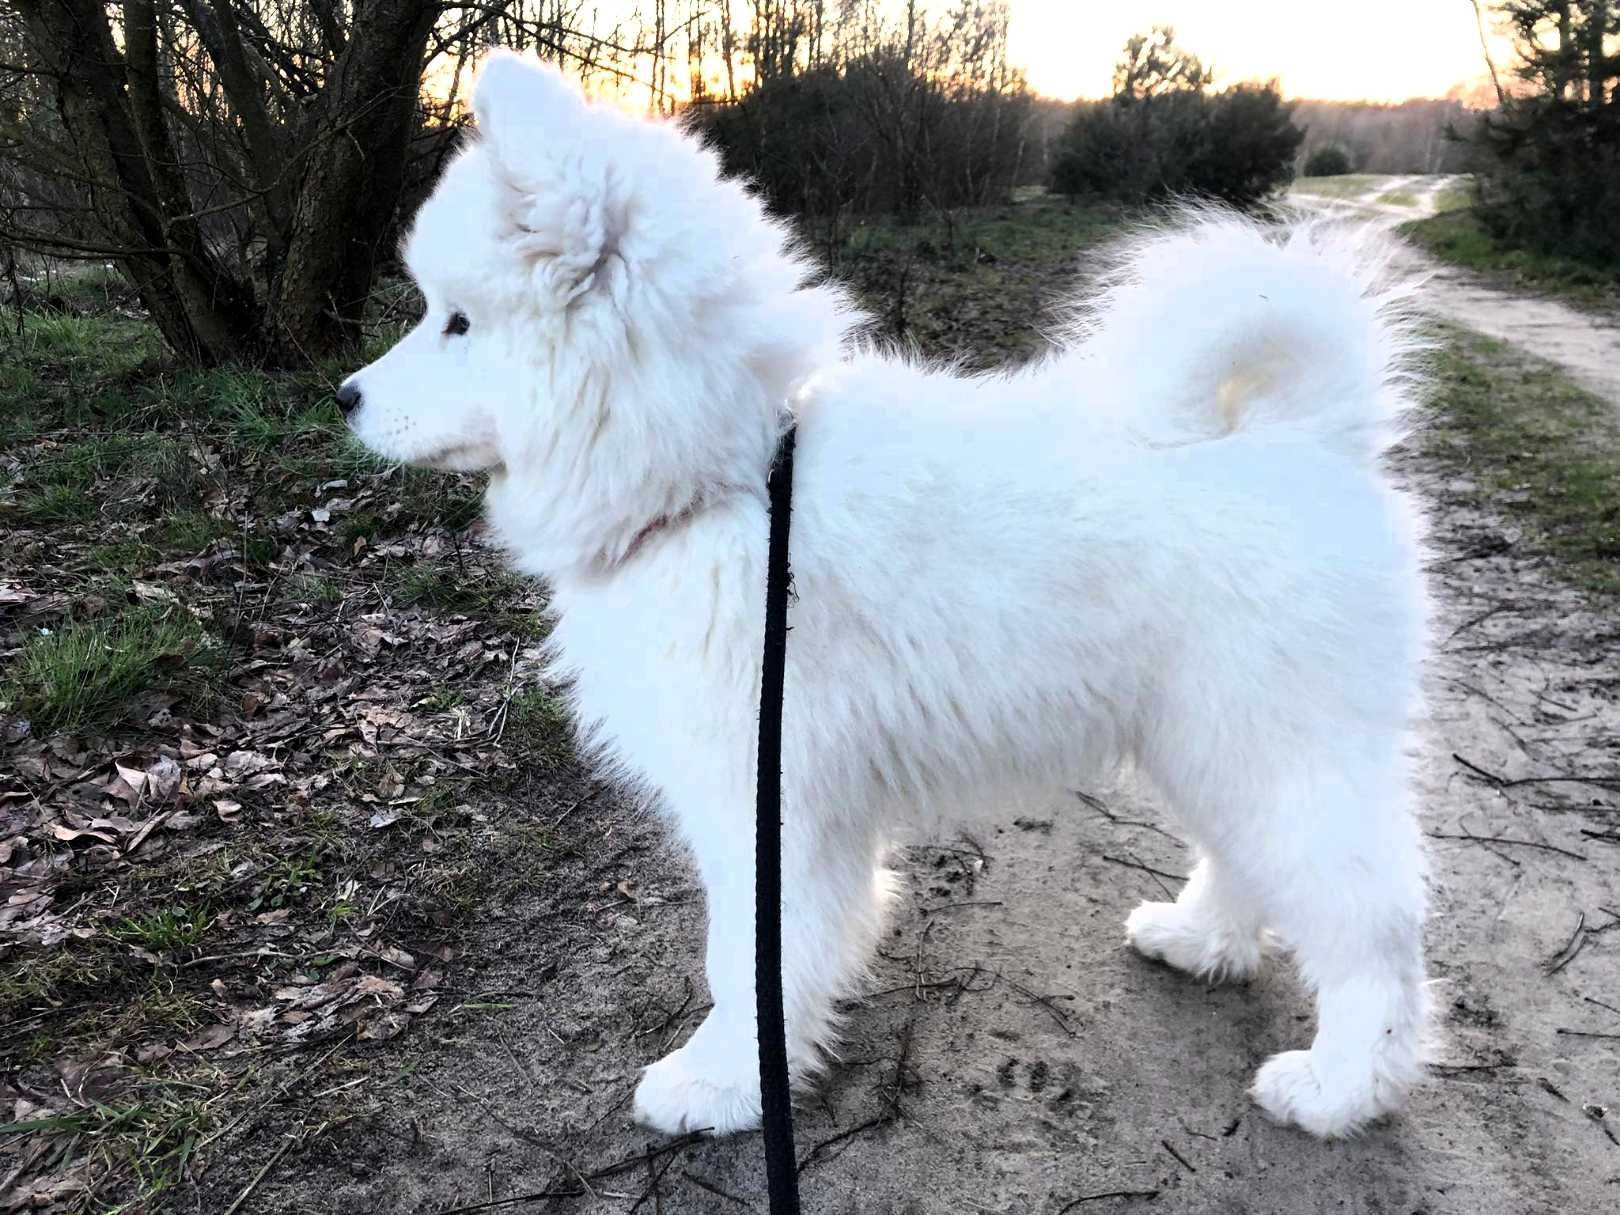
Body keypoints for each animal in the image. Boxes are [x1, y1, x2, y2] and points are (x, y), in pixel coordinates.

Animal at [345, 52, 1432, 1146]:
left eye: (457, 322)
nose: (345, 396)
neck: (729, 477)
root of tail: (1311, 437)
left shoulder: (765, 794)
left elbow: (750, 960)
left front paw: (721, 1084)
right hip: (1209, 740)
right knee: (1255, 864)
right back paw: (1202, 939)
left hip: (1277, 745)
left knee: (1372, 923)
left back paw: (1342, 1086)